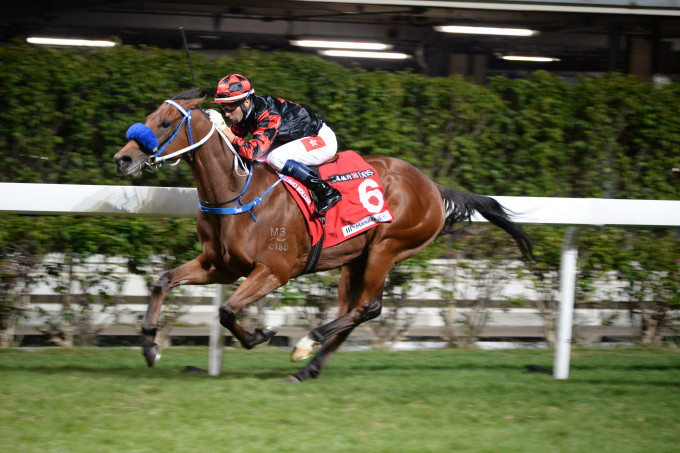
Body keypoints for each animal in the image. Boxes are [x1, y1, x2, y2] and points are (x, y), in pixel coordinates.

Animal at [114, 89, 532, 382]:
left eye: (166, 123)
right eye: (149, 117)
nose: (123, 159)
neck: (236, 192)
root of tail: (432, 185)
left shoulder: (274, 271)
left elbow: (226, 309)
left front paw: (258, 336)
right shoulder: (219, 266)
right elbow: (163, 281)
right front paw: (149, 346)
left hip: (387, 248)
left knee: (367, 308)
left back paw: (305, 345)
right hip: (355, 261)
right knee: (354, 312)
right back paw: (306, 369)